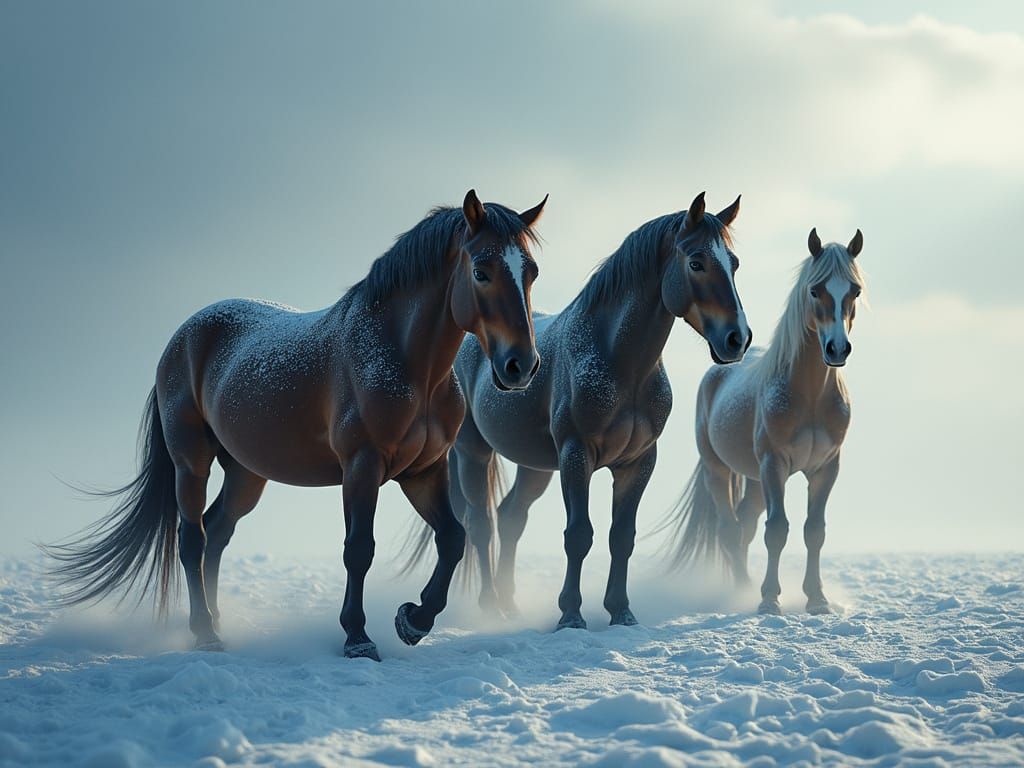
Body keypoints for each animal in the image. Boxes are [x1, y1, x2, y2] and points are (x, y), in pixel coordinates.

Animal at [46, 189, 548, 661]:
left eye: (531, 273)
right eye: (481, 271)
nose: (520, 366)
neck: (405, 362)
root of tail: (182, 337)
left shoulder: (423, 471)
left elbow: (453, 538)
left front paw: (414, 620)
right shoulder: (362, 467)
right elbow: (358, 549)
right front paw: (358, 638)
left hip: (246, 473)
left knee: (217, 533)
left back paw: (217, 620)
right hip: (192, 462)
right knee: (192, 538)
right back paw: (205, 633)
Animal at [404, 192, 751, 629]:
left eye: (734, 263)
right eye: (696, 262)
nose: (737, 339)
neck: (621, 364)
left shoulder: (639, 462)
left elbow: (622, 536)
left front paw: (621, 611)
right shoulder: (576, 455)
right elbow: (579, 535)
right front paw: (570, 614)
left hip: (535, 467)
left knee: (510, 517)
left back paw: (510, 604)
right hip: (473, 453)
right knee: (481, 523)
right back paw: (490, 606)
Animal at [660, 228, 865, 615]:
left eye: (855, 290)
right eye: (814, 290)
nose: (837, 349)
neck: (809, 395)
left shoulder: (826, 468)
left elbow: (814, 531)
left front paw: (817, 600)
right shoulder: (775, 464)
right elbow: (777, 530)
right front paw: (769, 599)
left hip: (755, 480)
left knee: (745, 525)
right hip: (721, 470)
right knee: (729, 528)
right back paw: (741, 589)